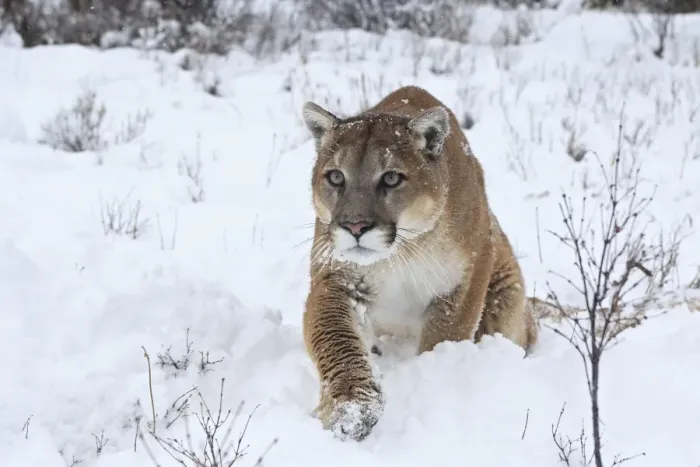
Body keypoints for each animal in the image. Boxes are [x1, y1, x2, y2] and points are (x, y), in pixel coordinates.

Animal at [300, 85, 538, 442]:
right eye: (336, 177)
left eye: (391, 178)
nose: (355, 226)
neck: (402, 252)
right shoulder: (335, 278)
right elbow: (335, 339)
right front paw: (351, 410)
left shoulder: (467, 277)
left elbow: (445, 335)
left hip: (506, 300)